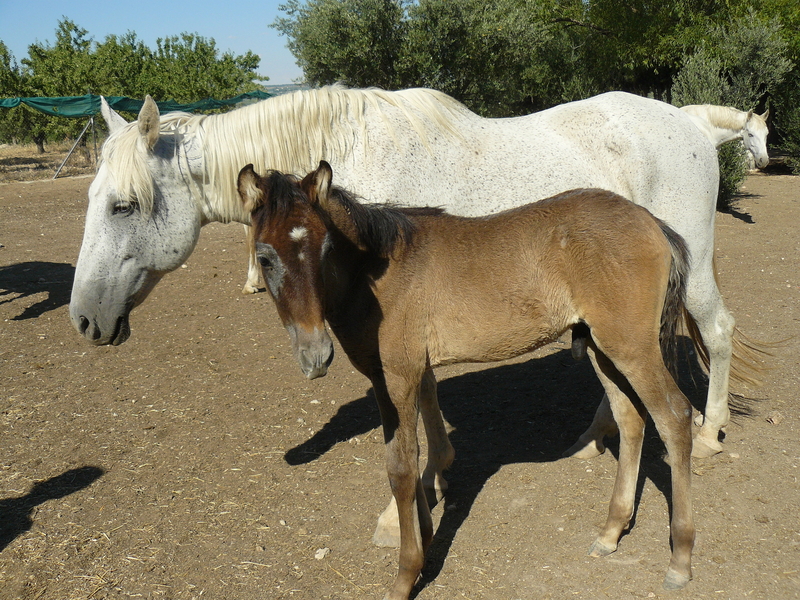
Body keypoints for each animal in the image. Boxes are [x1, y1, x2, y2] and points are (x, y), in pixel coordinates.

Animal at [68, 85, 762, 543]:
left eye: (124, 205)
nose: (84, 320)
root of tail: (691, 125)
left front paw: (402, 508)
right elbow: (427, 399)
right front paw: (437, 477)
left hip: (692, 272)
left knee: (715, 335)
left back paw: (709, 433)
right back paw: (594, 437)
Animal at [238, 160, 696, 597]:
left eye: (326, 248)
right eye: (264, 257)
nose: (315, 355)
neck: (376, 271)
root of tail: (651, 220)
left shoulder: (396, 376)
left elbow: (401, 467)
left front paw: (406, 574)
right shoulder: (411, 374)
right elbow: (421, 451)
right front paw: (424, 539)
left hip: (631, 347)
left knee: (675, 417)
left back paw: (680, 559)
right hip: (604, 348)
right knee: (631, 419)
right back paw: (611, 531)